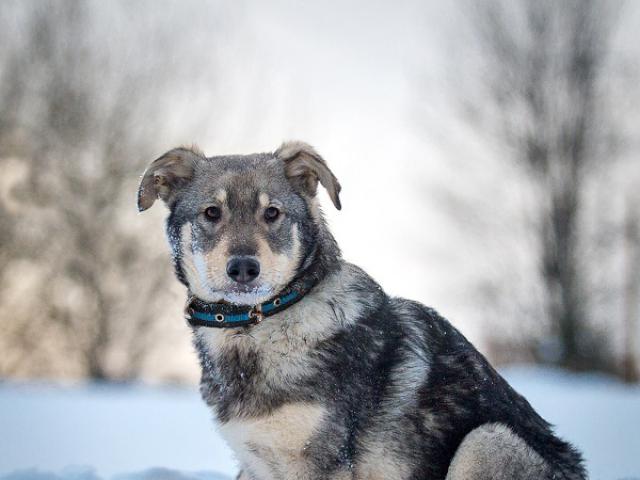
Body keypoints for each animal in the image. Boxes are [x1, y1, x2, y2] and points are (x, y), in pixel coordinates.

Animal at [139, 142, 584, 480]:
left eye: (272, 213)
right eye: (212, 213)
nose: (244, 268)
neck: (264, 323)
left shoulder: (320, 465)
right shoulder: (255, 462)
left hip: (485, 441)